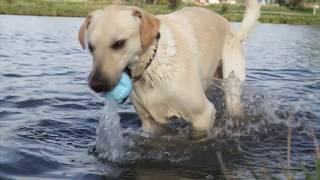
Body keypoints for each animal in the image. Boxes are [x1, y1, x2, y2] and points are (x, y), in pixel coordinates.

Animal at [79, 0, 262, 135]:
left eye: (119, 43)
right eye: (91, 47)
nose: (96, 84)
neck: (151, 66)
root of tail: (234, 31)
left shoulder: (203, 115)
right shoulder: (150, 124)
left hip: (232, 87)